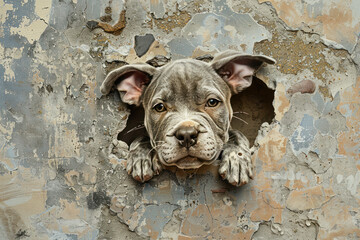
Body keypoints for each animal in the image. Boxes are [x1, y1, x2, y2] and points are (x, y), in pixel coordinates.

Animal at [101, 50, 276, 186]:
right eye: (159, 107)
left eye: (212, 102)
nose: (186, 135)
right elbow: (143, 138)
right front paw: (143, 157)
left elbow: (235, 134)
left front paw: (237, 160)